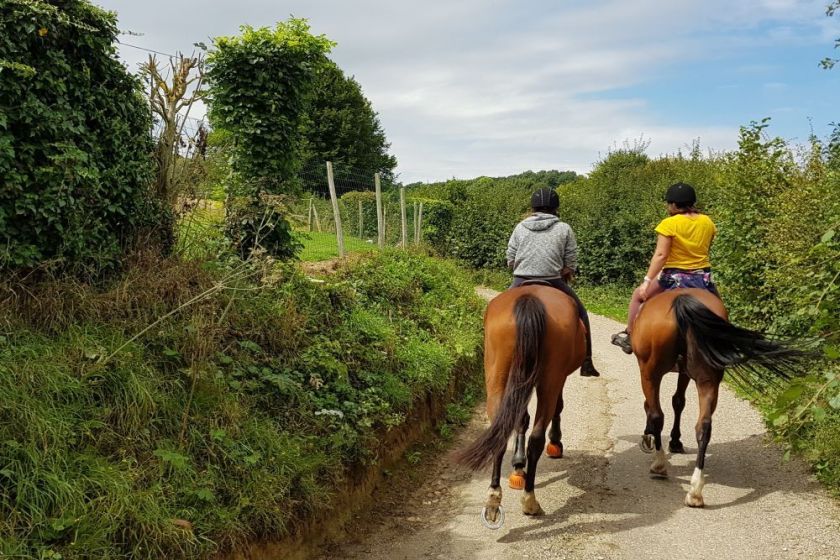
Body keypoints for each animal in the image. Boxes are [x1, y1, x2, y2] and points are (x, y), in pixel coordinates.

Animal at [452, 286, 584, 528]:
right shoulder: (559, 378)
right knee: (537, 436)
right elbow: (556, 408)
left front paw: (518, 466)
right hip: (550, 379)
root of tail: (529, 298)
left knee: (501, 432)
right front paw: (555, 443)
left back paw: (493, 499)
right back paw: (530, 500)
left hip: (497, 374)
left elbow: (521, 419)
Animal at [632, 288, 808, 508]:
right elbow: (678, 401)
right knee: (704, 426)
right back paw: (695, 491)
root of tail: (681, 300)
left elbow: (654, 405)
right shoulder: (685, 373)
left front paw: (651, 438)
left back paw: (659, 464)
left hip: (651, 372)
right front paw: (676, 441)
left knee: (657, 415)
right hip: (708, 378)